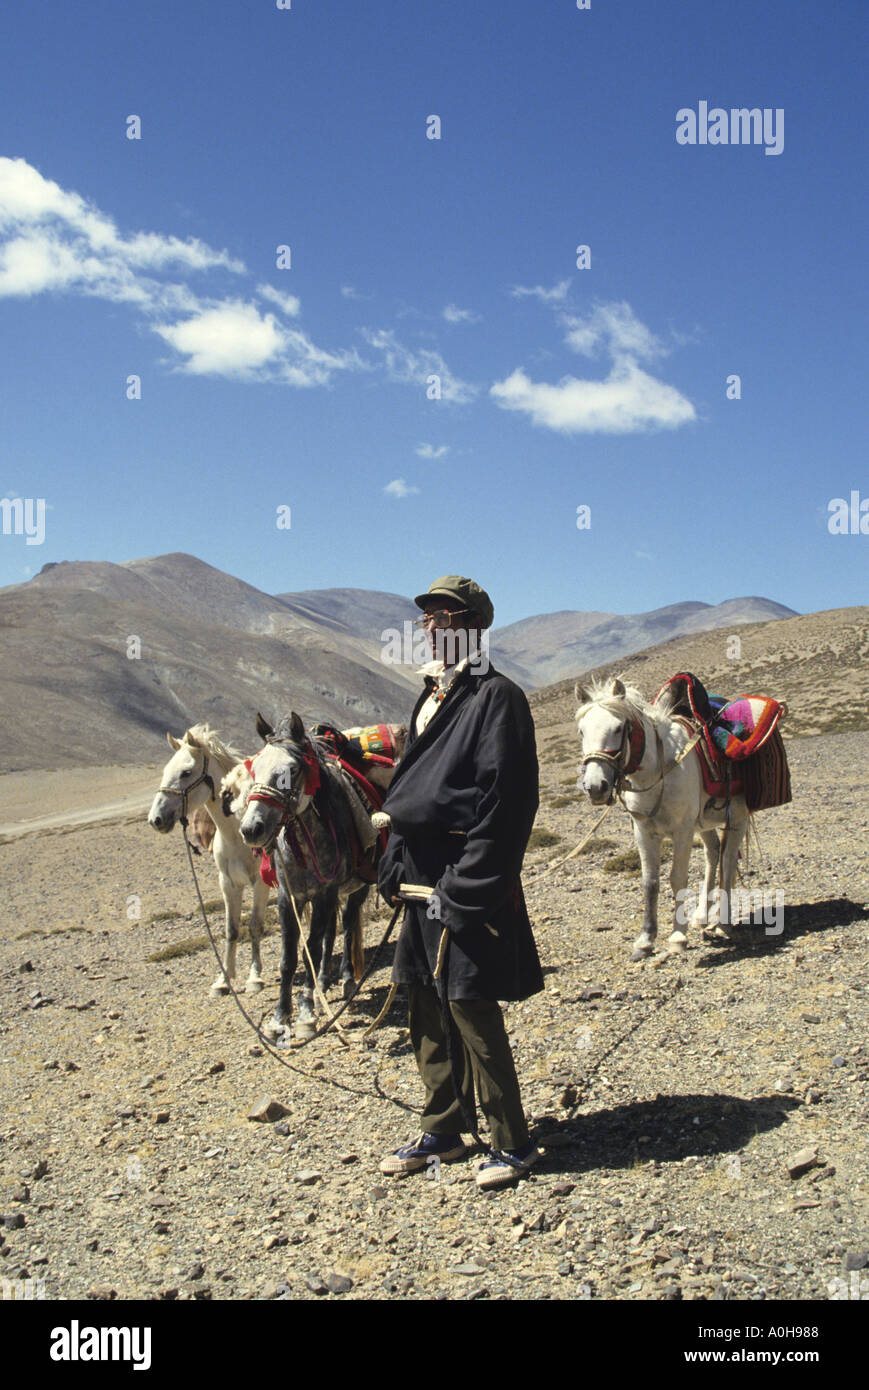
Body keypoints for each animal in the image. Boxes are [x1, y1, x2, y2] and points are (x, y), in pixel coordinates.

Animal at [148, 722, 269, 995]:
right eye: (165, 771)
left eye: (186, 772)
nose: (155, 819)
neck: (236, 833)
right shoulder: (228, 884)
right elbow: (231, 930)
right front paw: (224, 980)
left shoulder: (261, 883)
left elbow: (255, 924)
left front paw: (254, 977)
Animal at [572, 678, 750, 961]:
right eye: (581, 731)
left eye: (619, 728)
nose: (595, 787)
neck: (658, 773)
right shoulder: (644, 832)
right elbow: (650, 883)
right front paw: (645, 940)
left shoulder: (682, 832)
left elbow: (677, 879)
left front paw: (678, 936)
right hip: (703, 824)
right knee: (713, 853)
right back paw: (702, 915)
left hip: (738, 818)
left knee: (728, 861)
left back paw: (723, 922)